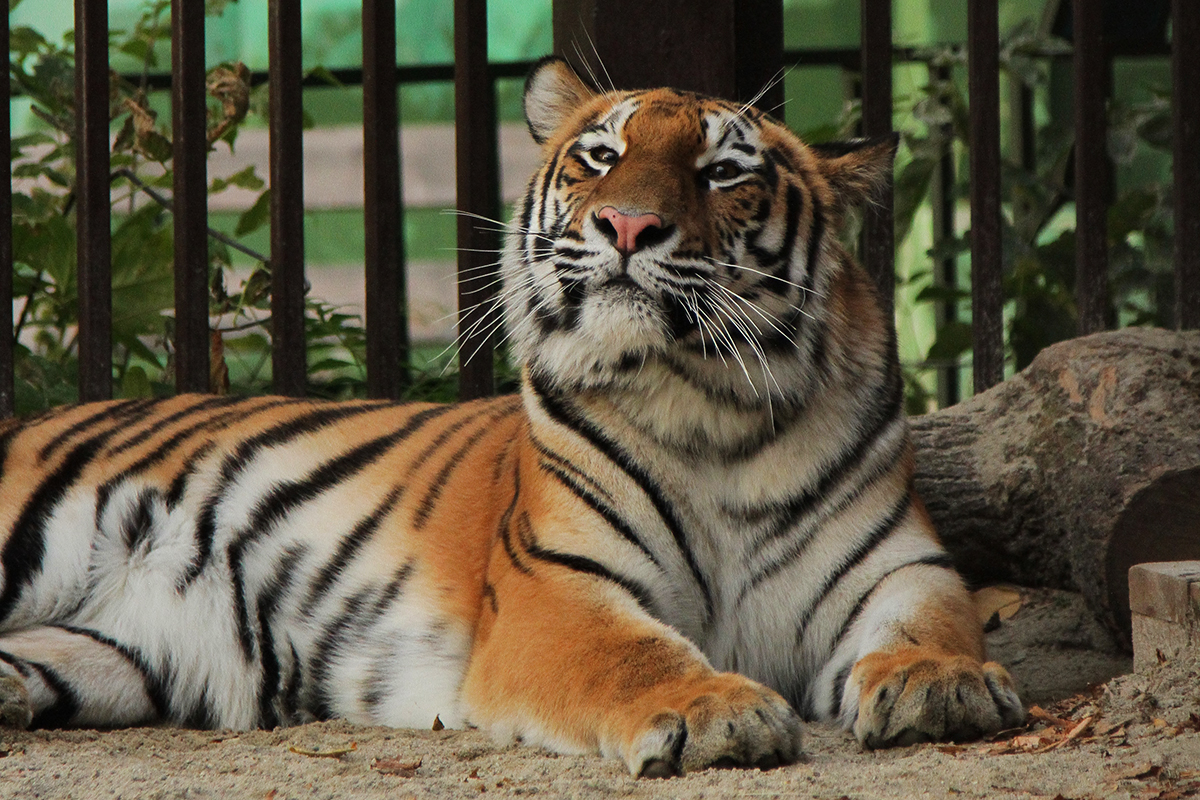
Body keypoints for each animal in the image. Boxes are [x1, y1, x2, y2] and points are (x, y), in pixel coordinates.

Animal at [0, 54, 1022, 777]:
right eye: (602, 157)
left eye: (722, 170)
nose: (626, 226)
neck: (713, 414)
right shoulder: (556, 588)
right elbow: (634, 655)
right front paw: (715, 709)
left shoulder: (902, 565)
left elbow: (928, 625)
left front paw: (942, 685)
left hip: (100, 654)